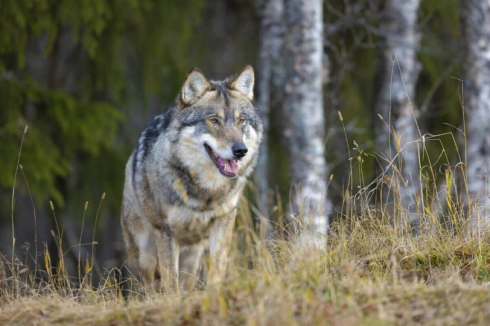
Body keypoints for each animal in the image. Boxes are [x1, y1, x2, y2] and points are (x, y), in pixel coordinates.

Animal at [120, 65, 262, 292]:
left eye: (241, 120)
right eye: (214, 120)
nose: (240, 150)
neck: (205, 191)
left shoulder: (224, 221)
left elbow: (218, 268)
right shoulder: (165, 231)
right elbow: (170, 281)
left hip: (192, 258)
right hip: (144, 254)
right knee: (148, 286)